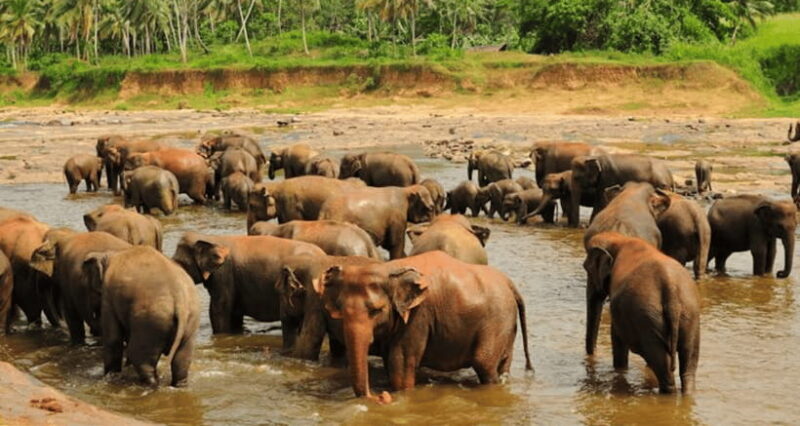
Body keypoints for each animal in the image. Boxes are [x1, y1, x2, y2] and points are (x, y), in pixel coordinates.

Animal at [83, 246, 199, 387]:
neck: (112, 253)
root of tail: (179, 299)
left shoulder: (108, 294)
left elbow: (113, 338)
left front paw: (109, 376)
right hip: (190, 320)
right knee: (182, 361)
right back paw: (178, 385)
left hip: (150, 321)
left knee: (140, 357)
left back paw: (151, 384)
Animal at [315, 251, 533, 402]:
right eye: (340, 310)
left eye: (376, 311)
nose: (381, 396)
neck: (389, 269)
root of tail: (510, 284)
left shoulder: (418, 317)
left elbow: (400, 366)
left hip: (498, 320)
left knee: (484, 364)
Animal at [584, 231, 700, 394]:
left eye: (587, 269)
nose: (593, 357)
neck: (620, 239)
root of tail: (670, 286)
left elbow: (617, 336)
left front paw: (620, 369)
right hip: (688, 314)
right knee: (688, 364)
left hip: (646, 318)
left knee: (662, 362)